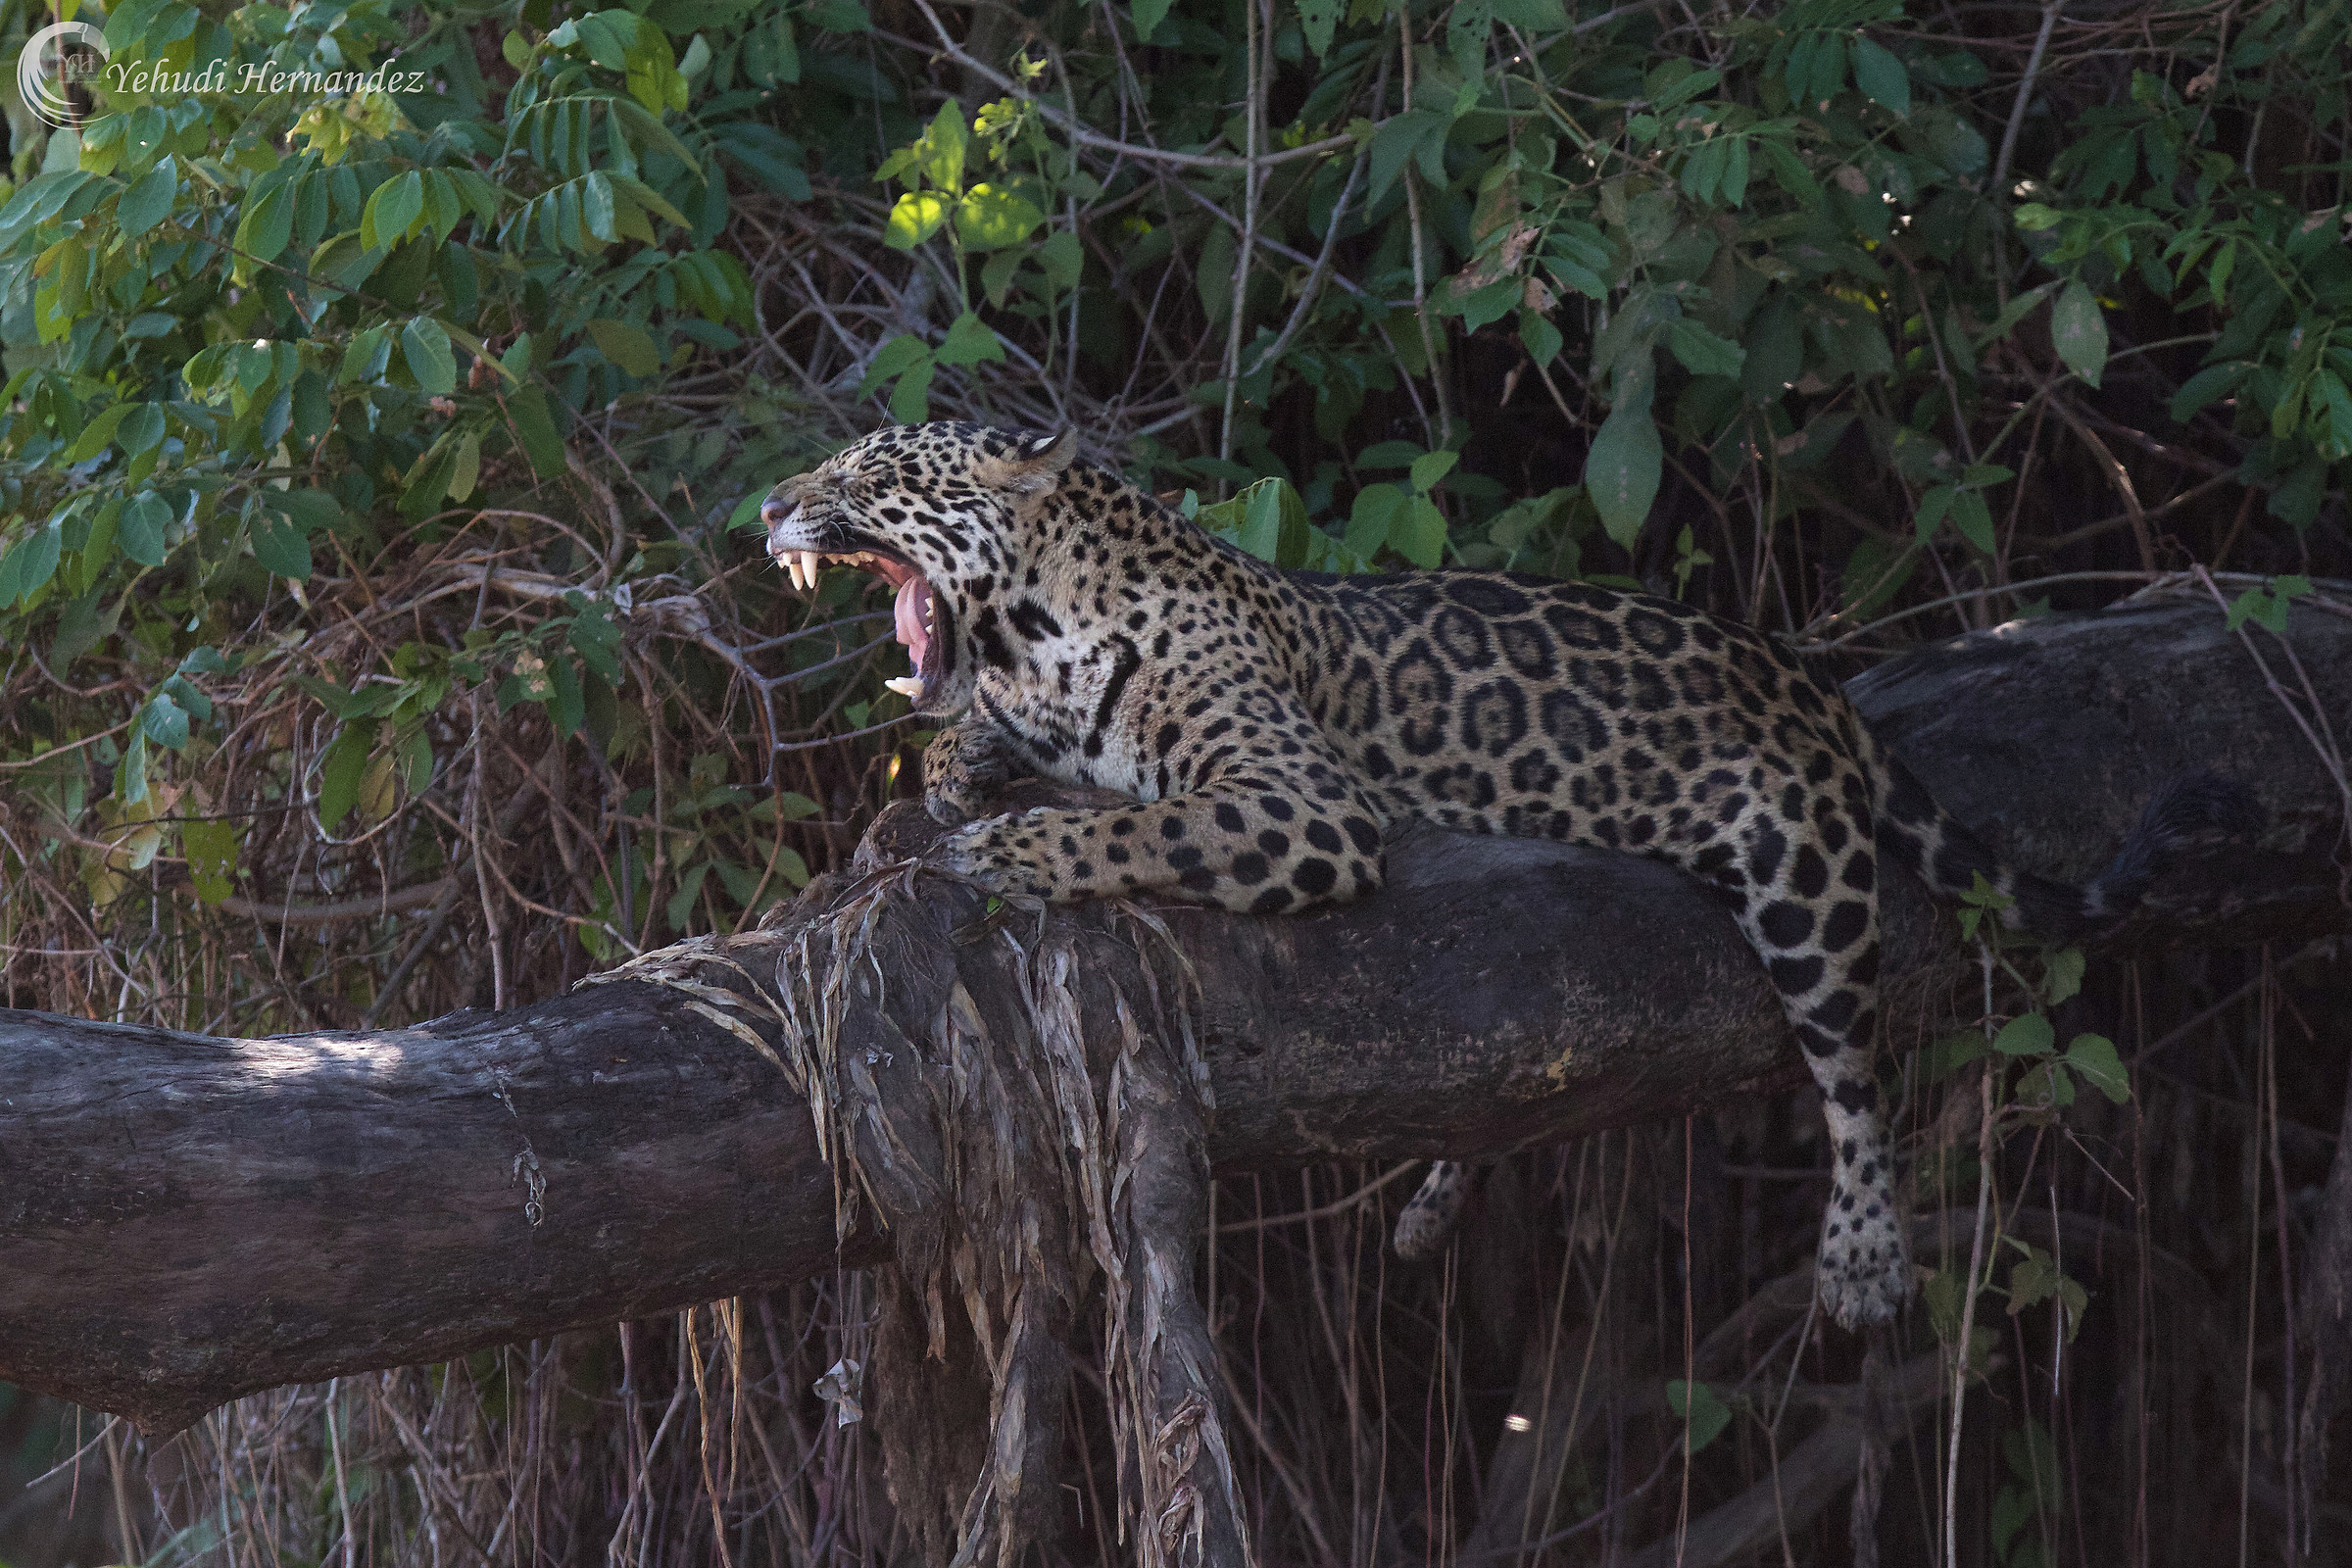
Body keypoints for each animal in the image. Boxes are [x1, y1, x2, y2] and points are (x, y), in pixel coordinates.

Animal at [757, 419, 2250, 1329]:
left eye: (871, 465)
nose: (771, 501)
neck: (1039, 633)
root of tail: (1807, 680)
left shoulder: (1305, 809)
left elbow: (1127, 829)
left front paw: (1011, 845)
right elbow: (974, 748)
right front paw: (963, 775)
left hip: (1801, 875)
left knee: (1850, 1067)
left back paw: (1867, 1258)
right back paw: (1431, 1203)